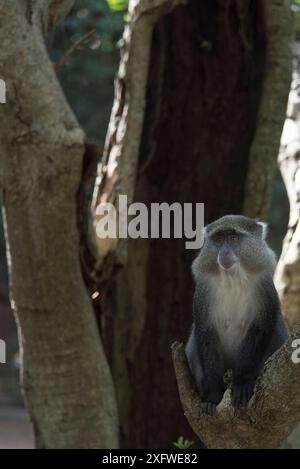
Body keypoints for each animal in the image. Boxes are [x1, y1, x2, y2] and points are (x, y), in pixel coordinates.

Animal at [185, 214, 288, 414]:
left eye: (233, 238)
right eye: (219, 239)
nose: (224, 252)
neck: (233, 278)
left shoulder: (264, 287)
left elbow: (260, 328)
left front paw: (242, 383)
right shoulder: (203, 292)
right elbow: (205, 332)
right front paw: (213, 397)